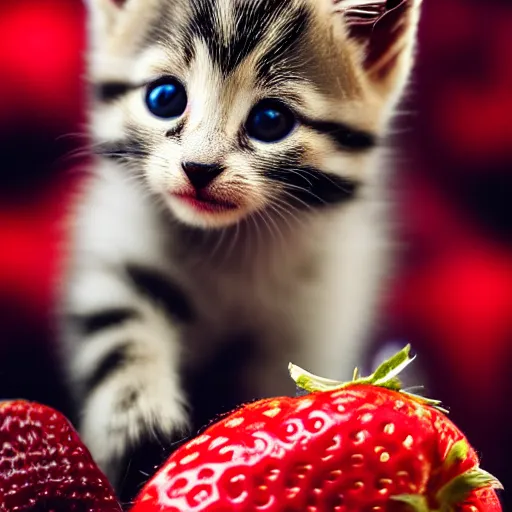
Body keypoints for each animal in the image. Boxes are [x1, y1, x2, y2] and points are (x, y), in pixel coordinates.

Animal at [60, 0, 422, 500]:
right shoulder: (119, 247)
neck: (225, 244)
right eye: (165, 97)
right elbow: (121, 335)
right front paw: (141, 427)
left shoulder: (311, 317)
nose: (198, 167)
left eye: (270, 121)